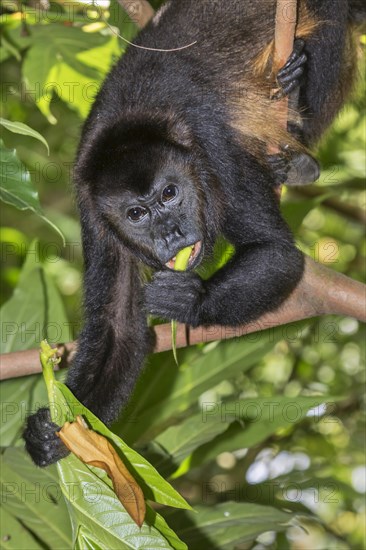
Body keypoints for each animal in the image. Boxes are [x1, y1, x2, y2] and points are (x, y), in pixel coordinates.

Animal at [24, 0, 364, 468]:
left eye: (170, 193)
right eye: (136, 213)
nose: (170, 232)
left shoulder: (213, 148)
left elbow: (276, 252)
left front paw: (189, 301)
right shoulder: (92, 211)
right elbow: (119, 329)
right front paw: (53, 433)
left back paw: (294, 131)